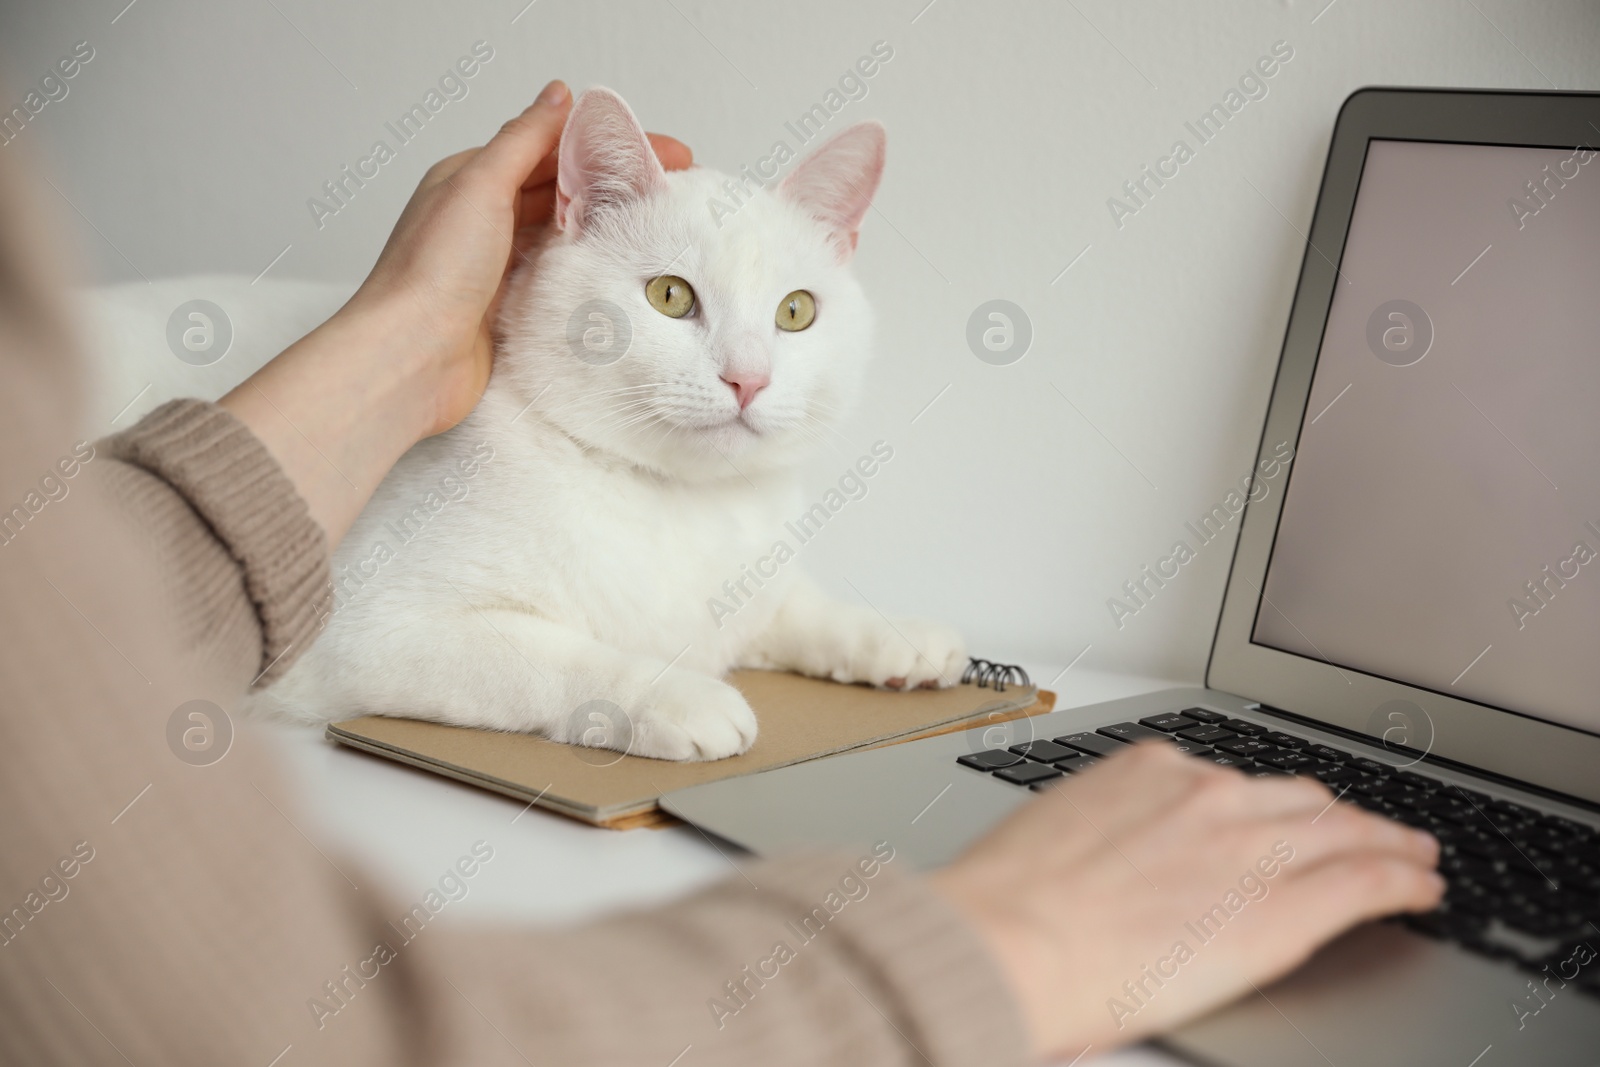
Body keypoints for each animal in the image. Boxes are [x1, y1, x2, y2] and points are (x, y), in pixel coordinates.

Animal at [252, 91, 960, 758]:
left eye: (795, 311)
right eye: (670, 296)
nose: (749, 379)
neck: (681, 502)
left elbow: (797, 607)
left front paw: (893, 636)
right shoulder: (365, 633)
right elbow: (556, 660)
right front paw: (680, 697)